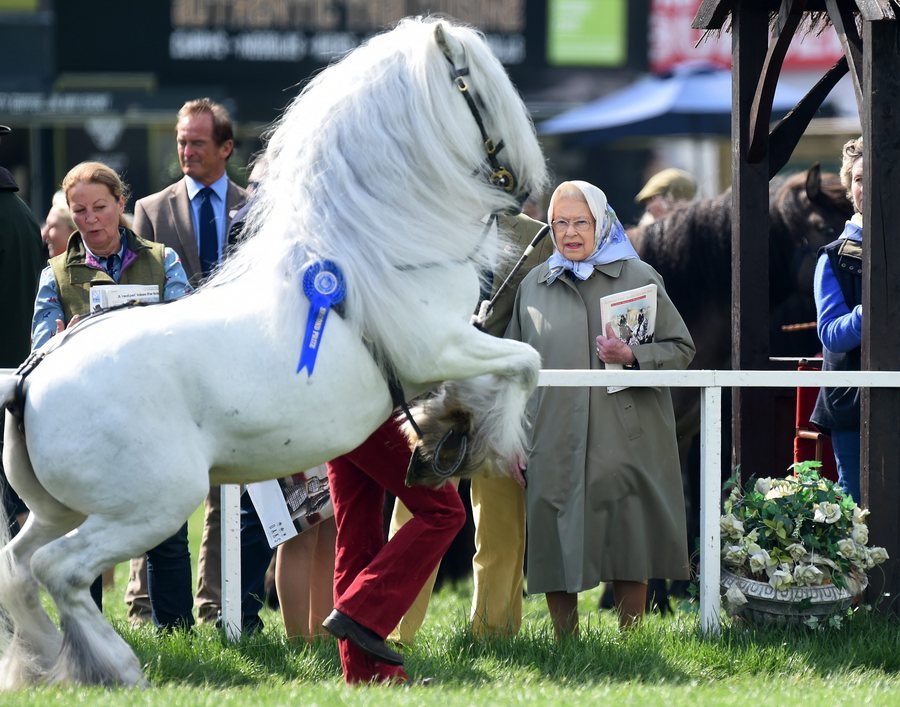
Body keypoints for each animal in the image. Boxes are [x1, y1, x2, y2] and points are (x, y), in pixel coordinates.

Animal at [0, 18, 548, 692]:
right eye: (477, 90)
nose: (527, 184)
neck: (373, 246)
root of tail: (30, 381)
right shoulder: (441, 346)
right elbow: (524, 362)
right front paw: (470, 443)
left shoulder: (447, 352)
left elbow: (499, 374)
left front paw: (441, 436)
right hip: (148, 508)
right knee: (60, 571)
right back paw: (118, 667)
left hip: (57, 507)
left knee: (17, 568)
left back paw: (44, 661)